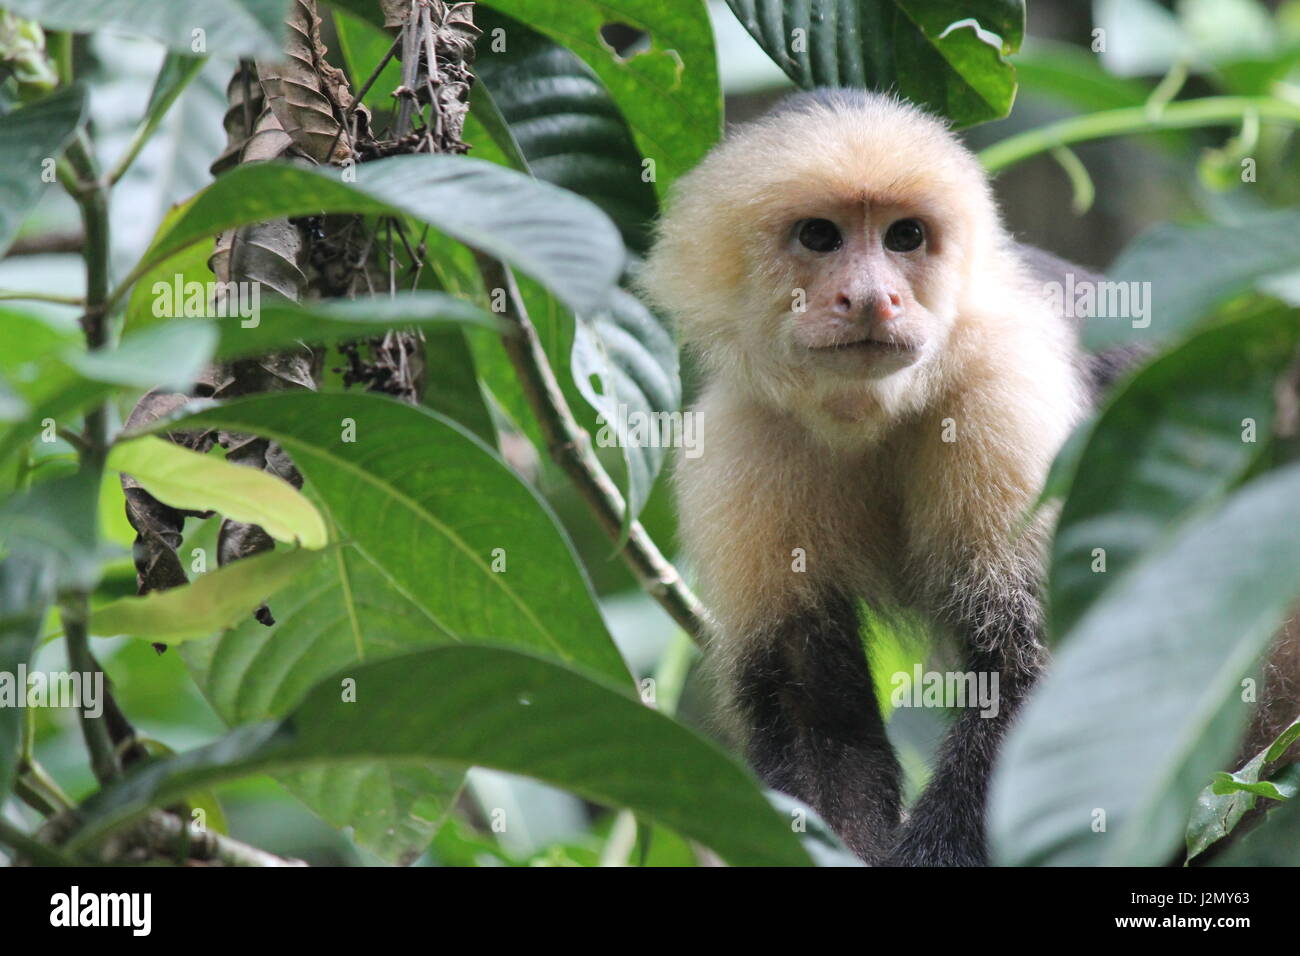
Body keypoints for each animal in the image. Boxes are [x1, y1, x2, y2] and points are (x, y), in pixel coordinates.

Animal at [644, 89, 1144, 868]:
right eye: (820, 236)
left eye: (905, 236)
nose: (874, 298)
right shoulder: (741, 441)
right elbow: (811, 704)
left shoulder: (1003, 390)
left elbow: (1041, 666)